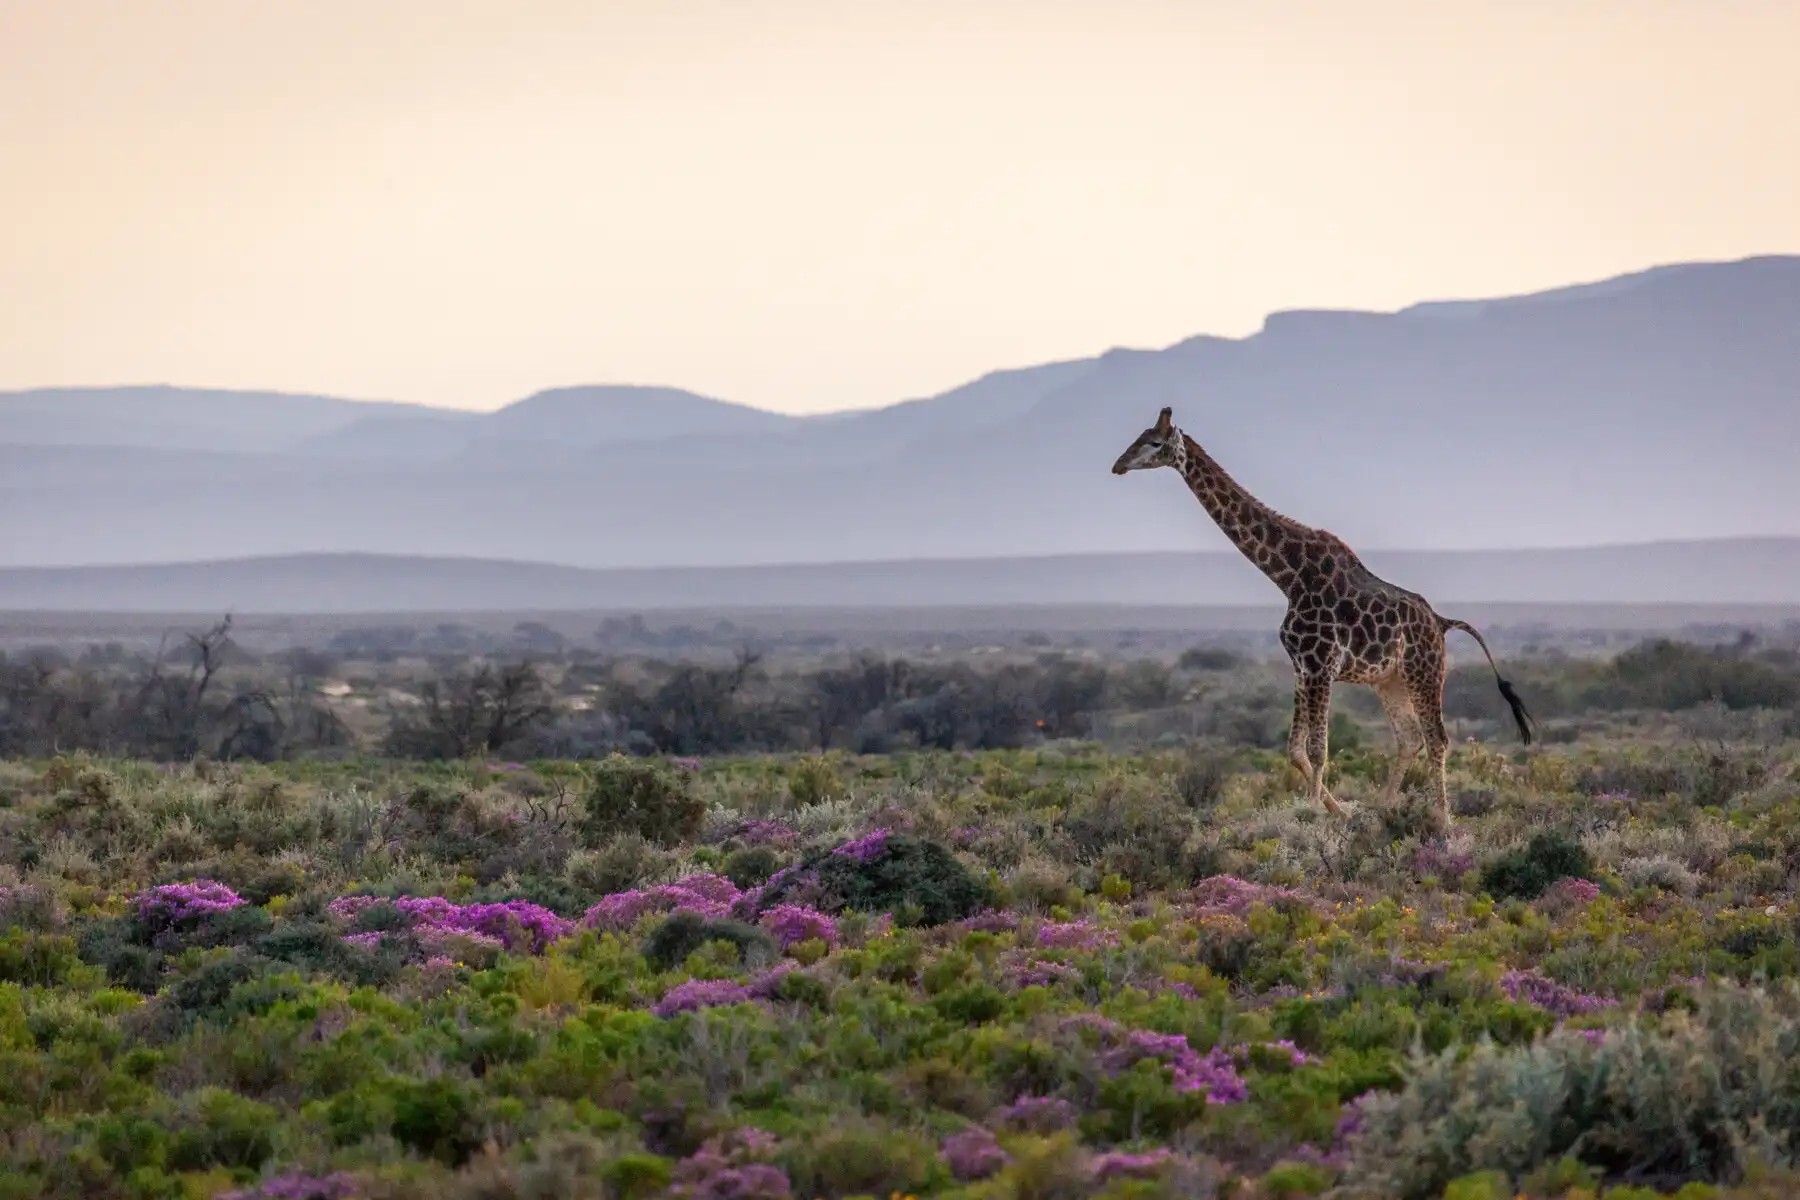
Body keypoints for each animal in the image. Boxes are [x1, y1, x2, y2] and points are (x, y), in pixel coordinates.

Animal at [1111, 406, 1533, 823]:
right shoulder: (1302, 667)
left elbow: (1318, 751)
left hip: (1424, 672)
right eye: (1139, 437)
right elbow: (1296, 751)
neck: (1289, 575)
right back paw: (1383, 806)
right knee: (1410, 737)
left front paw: (1316, 815)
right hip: (1389, 679)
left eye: (1154, 442)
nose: (1118, 465)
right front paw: (1337, 809)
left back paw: (1442, 819)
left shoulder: (1321, 665)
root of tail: (1441, 624)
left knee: (1437, 739)